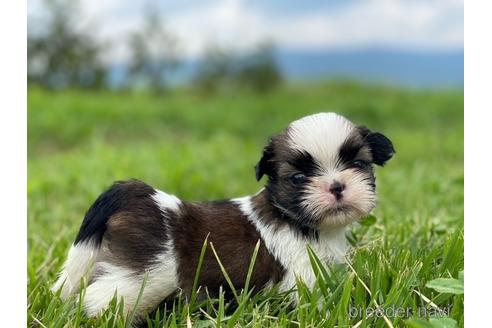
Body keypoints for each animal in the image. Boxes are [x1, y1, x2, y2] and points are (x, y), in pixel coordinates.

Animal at [51, 113, 396, 318]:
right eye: (298, 178)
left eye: (358, 164)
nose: (336, 186)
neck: (298, 220)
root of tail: (139, 193)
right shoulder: (302, 277)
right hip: (144, 278)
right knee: (99, 298)